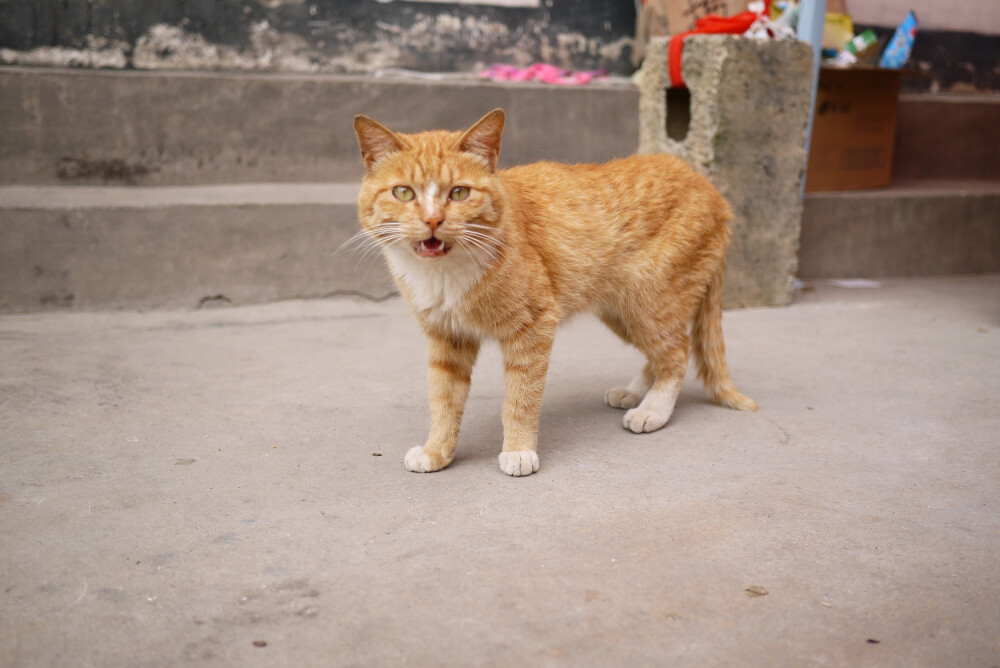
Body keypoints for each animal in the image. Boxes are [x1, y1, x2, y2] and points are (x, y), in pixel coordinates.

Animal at [356, 108, 752, 474]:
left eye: (459, 192)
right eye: (403, 192)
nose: (433, 220)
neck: (444, 274)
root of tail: (709, 188)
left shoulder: (534, 326)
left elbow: (520, 397)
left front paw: (518, 451)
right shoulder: (446, 338)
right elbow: (443, 400)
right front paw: (437, 451)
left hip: (650, 303)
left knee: (677, 353)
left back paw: (652, 409)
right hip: (623, 314)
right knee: (661, 353)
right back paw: (635, 392)